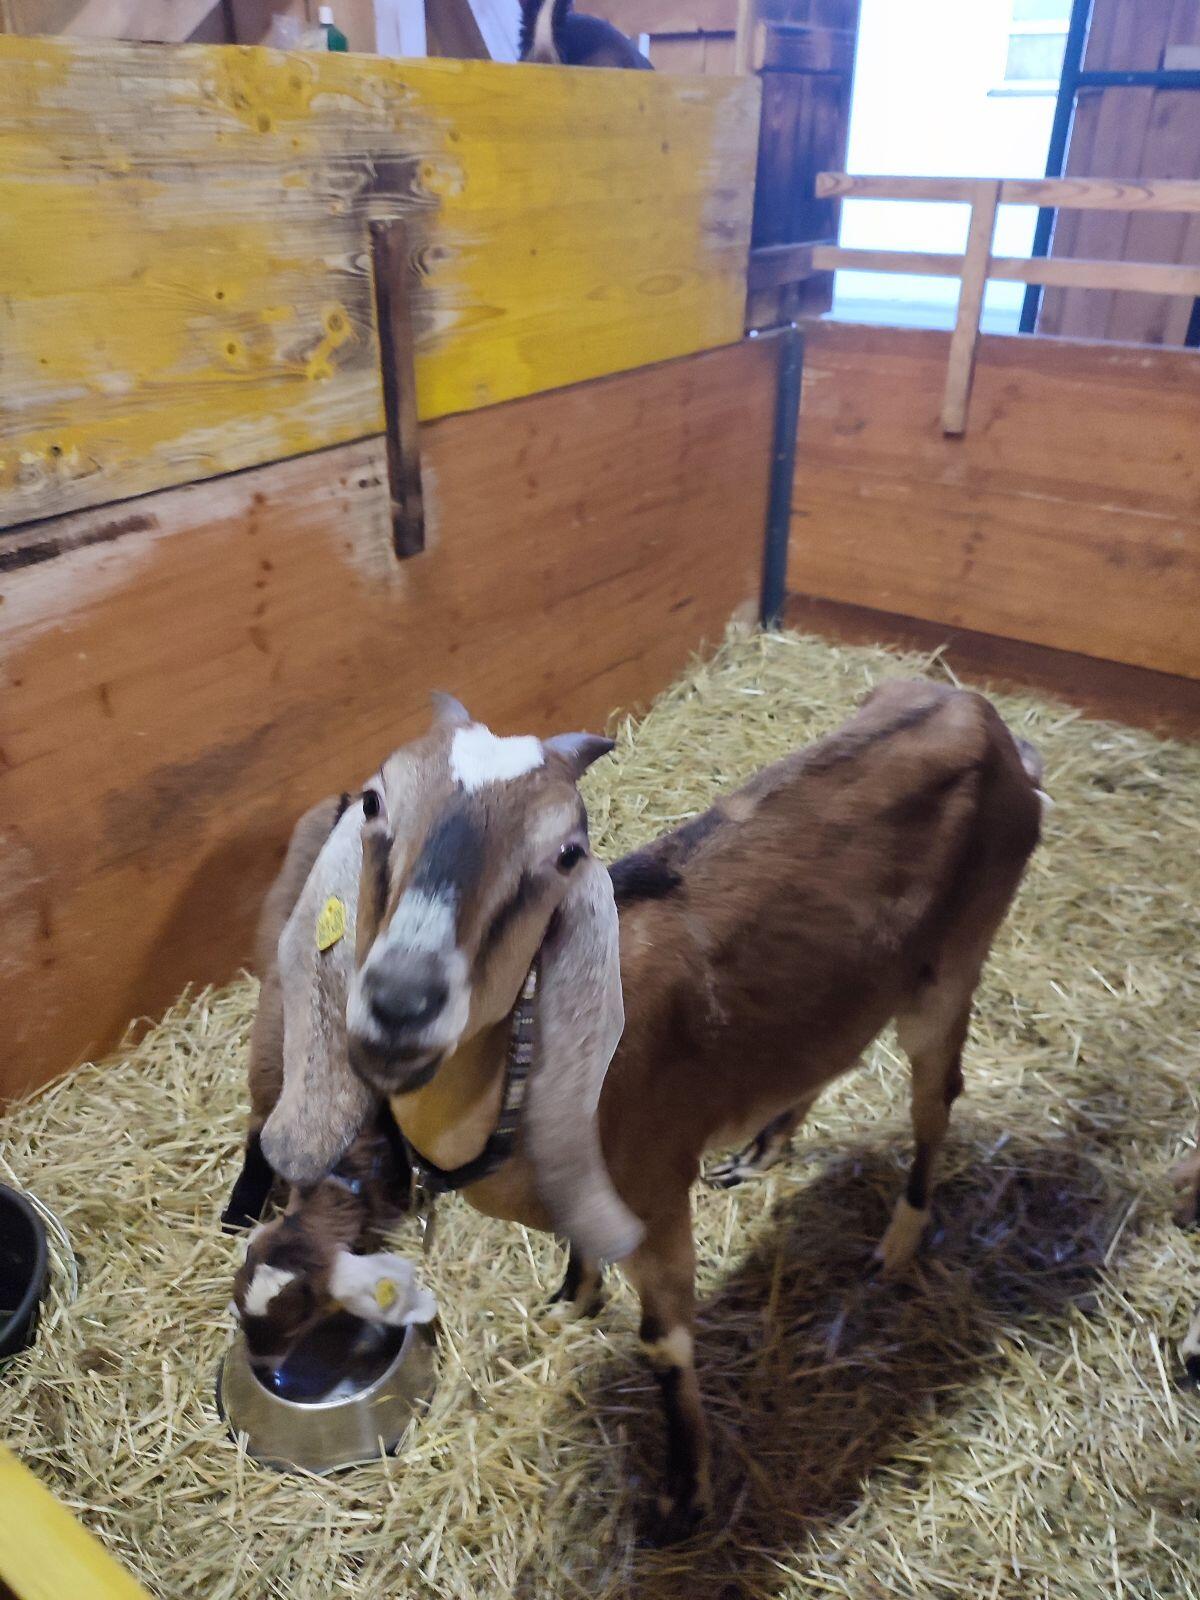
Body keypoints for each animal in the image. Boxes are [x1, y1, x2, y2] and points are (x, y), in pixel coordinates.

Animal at [258, 680, 1042, 1538]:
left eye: (569, 852)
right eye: (372, 802)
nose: (402, 1002)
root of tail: (975, 710)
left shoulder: (657, 1199)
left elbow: (664, 1342)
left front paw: (684, 1495)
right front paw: (569, 1302)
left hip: (951, 970)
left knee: (936, 1101)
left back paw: (897, 1241)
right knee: (831, 1055)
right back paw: (762, 1150)